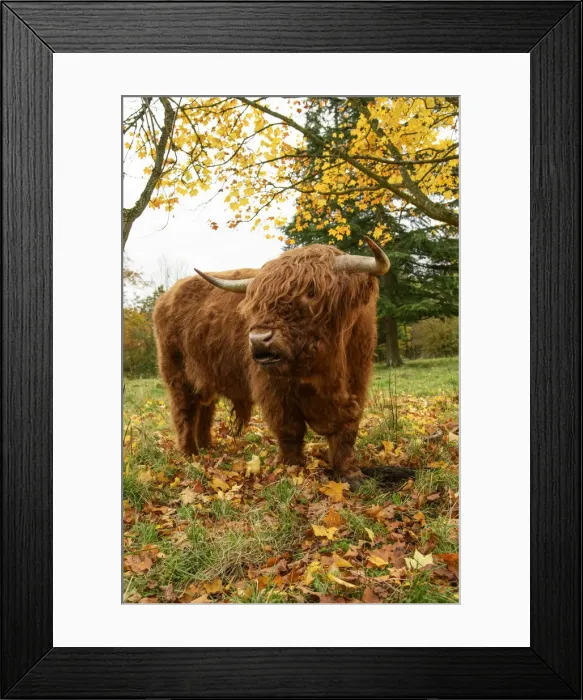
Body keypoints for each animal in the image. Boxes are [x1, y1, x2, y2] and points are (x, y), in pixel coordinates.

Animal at [153, 237, 407, 483]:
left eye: (312, 292)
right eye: (256, 301)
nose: (258, 340)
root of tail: (166, 297)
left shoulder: (357, 382)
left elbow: (346, 431)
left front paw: (350, 474)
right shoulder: (274, 390)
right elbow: (289, 429)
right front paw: (291, 469)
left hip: (205, 378)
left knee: (205, 411)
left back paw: (207, 449)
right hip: (177, 374)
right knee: (185, 412)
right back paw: (190, 454)